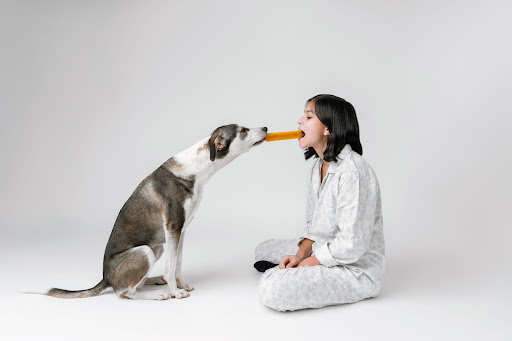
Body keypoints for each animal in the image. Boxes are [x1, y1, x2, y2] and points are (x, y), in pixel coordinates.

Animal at [27, 125, 268, 300]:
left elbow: (177, 265)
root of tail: (106, 278)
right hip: (144, 252)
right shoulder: (173, 228)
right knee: (125, 293)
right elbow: (171, 268)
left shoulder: (181, 231)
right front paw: (175, 291)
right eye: (243, 130)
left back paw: (154, 280)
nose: (265, 127)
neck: (195, 168)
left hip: (157, 247)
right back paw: (158, 294)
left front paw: (179, 284)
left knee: (137, 284)